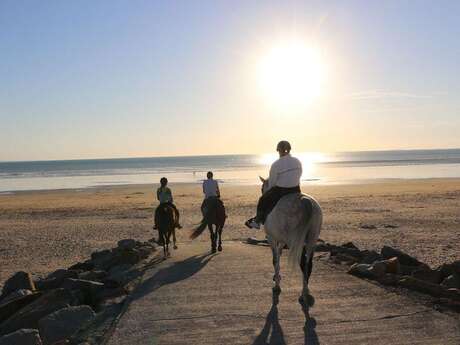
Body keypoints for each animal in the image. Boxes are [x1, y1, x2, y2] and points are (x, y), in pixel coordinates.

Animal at [260, 177, 322, 306]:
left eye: (262, 188)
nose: (262, 192)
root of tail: (305, 202)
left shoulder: (271, 238)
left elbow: (274, 259)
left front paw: (277, 285)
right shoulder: (282, 240)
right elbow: (278, 254)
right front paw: (276, 276)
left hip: (295, 241)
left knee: (302, 262)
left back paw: (303, 294)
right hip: (311, 239)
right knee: (308, 263)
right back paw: (306, 290)